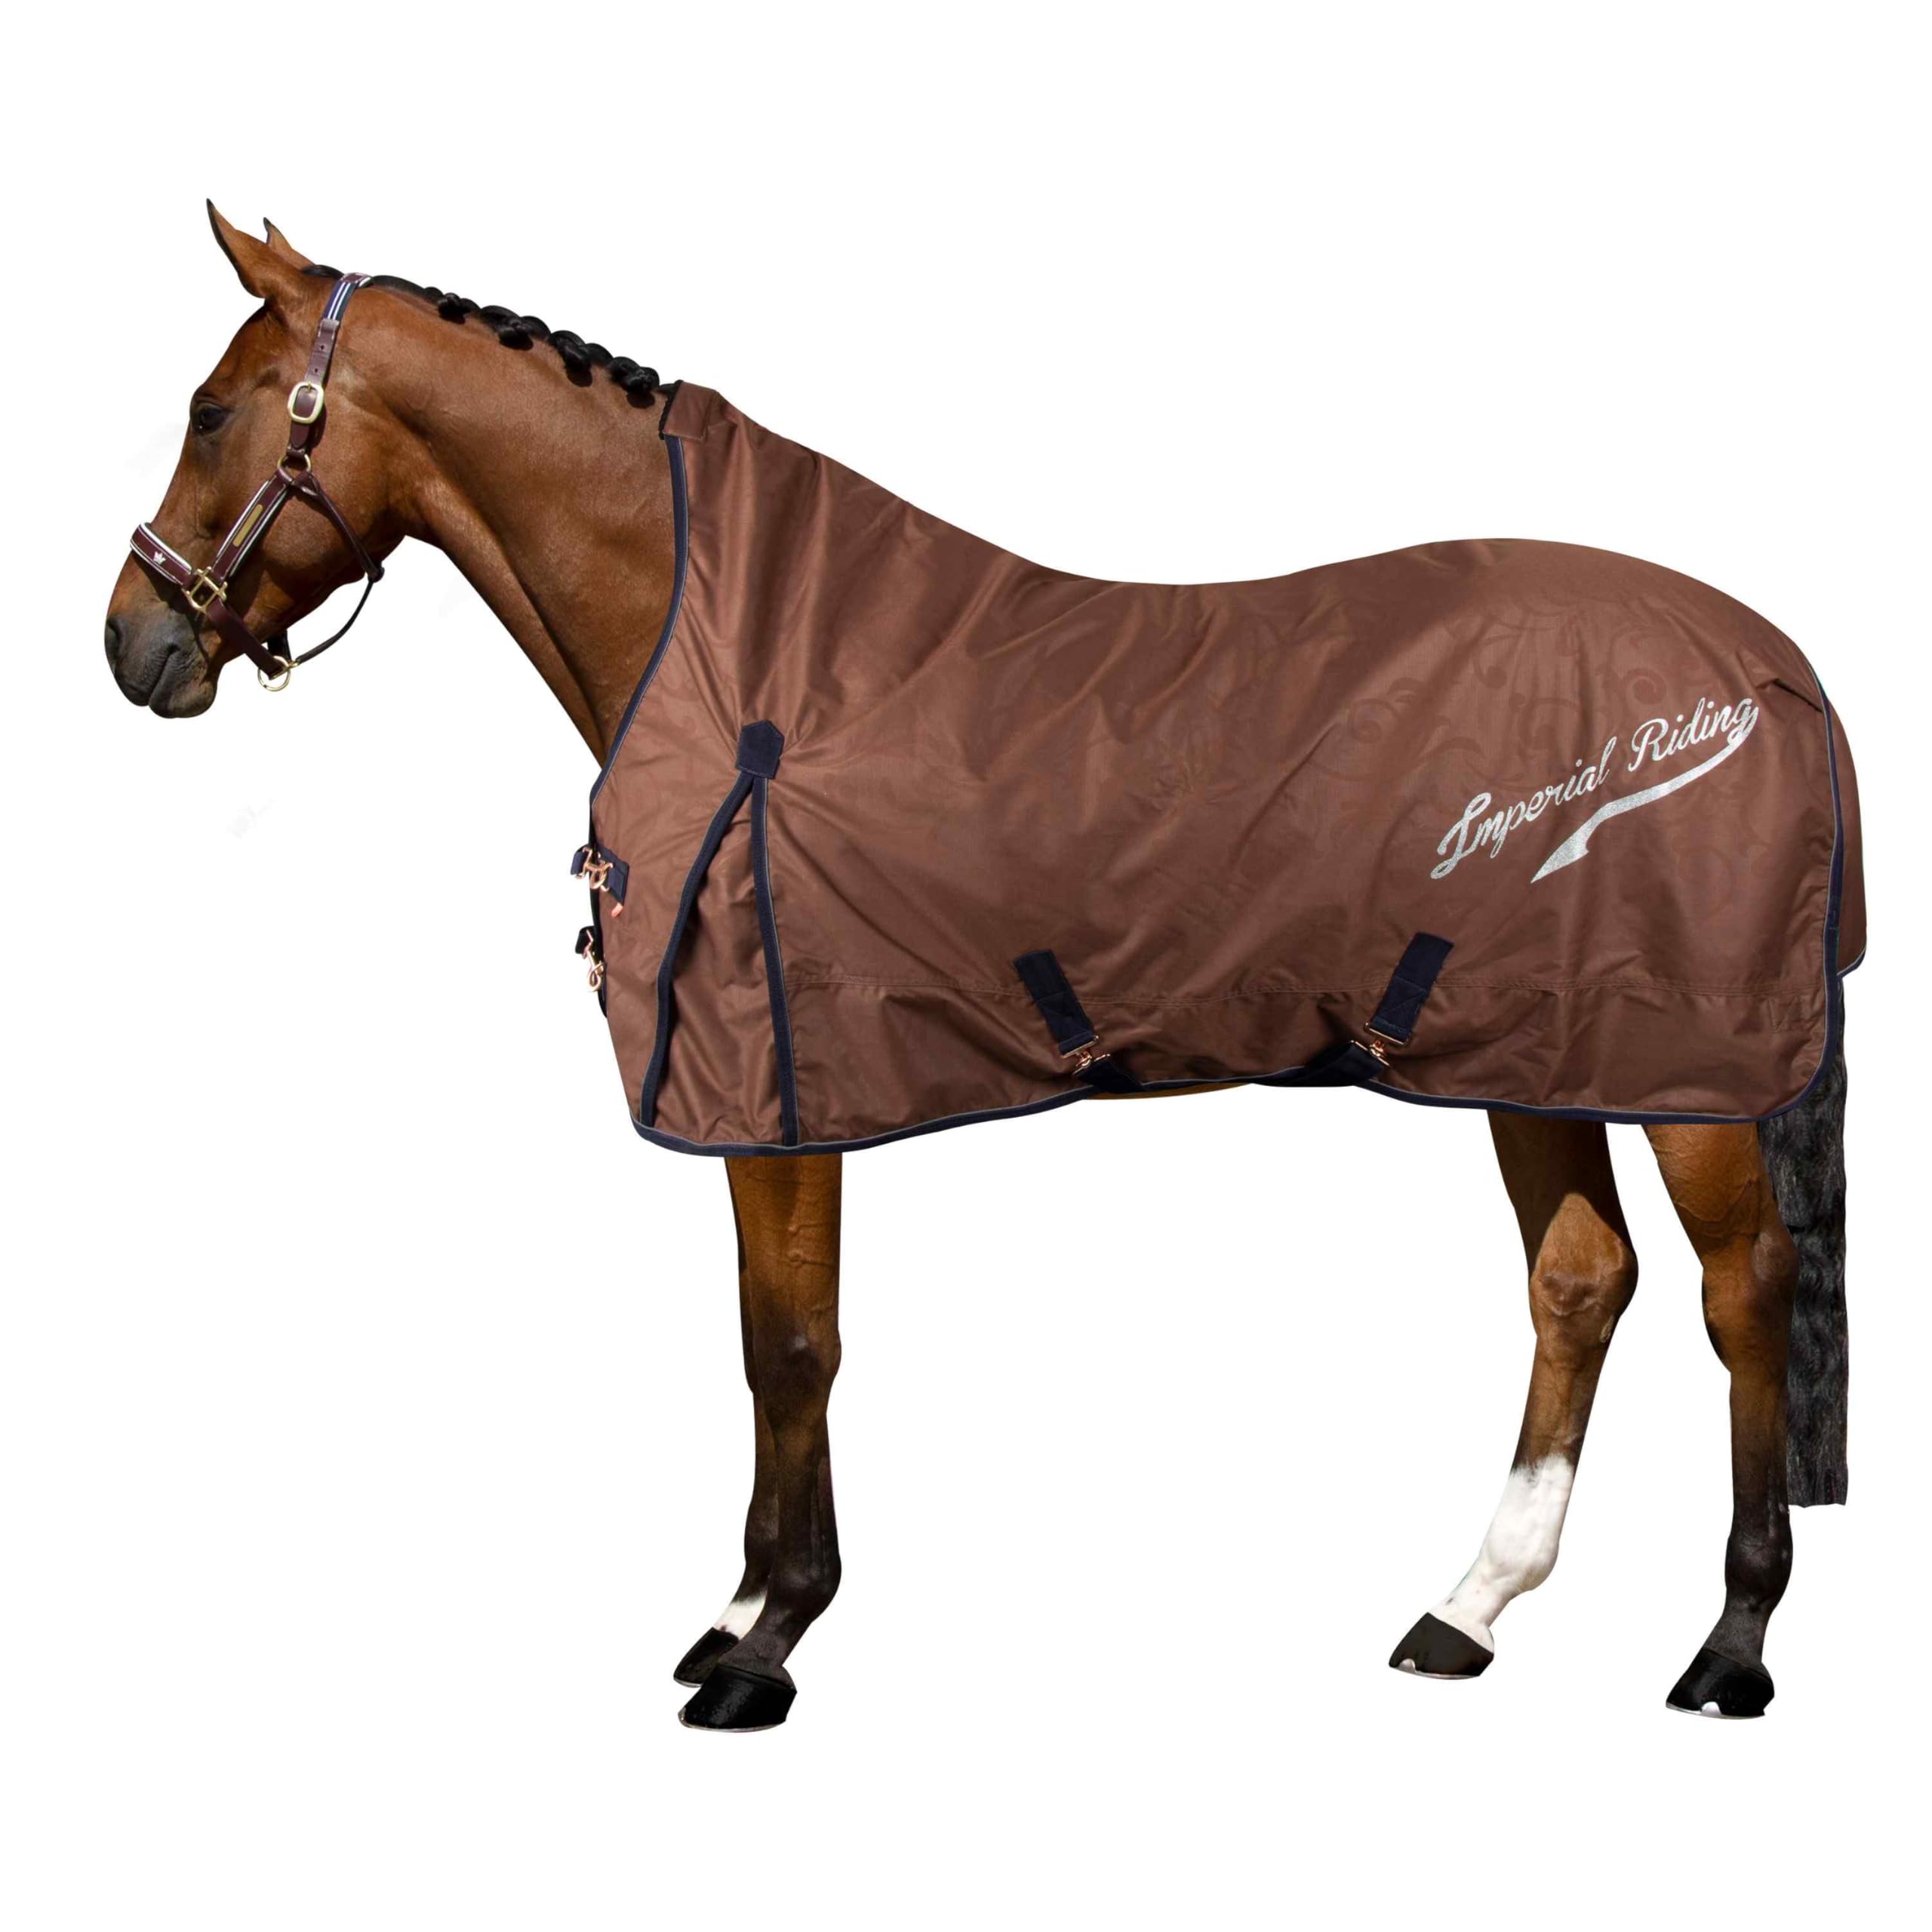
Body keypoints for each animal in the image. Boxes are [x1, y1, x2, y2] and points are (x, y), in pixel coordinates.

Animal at [104, 207, 1856, 1731]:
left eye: (209, 411)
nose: (133, 643)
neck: (740, 660)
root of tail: (1771, 668)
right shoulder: (764, 1094)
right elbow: (767, 1336)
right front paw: (734, 1617)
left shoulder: (782, 1085)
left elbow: (794, 1345)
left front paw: (768, 1646)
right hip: (1527, 1046)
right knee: (1580, 1281)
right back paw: (1464, 1609)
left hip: (1684, 1072)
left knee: (1742, 1290)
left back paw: (1730, 1643)